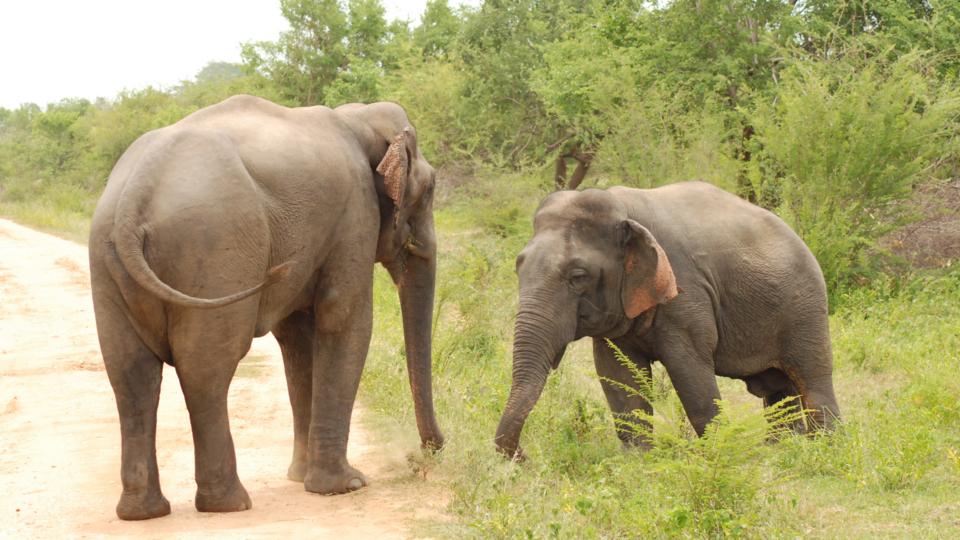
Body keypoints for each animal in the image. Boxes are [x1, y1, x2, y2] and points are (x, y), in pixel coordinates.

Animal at [88, 94, 444, 520]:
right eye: (431, 188)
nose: (429, 452)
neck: (356, 116)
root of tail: (134, 197)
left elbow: (297, 337)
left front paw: (301, 476)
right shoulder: (354, 214)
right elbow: (344, 319)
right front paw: (345, 485)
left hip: (108, 262)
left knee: (131, 373)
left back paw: (144, 512)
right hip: (214, 249)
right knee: (205, 368)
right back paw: (228, 504)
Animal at [494, 182, 840, 459]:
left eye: (578, 276)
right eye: (518, 267)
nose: (524, 456)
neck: (623, 208)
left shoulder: (686, 293)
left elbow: (689, 371)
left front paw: (717, 455)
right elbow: (617, 377)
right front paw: (638, 460)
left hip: (805, 307)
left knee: (812, 378)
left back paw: (825, 451)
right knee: (779, 388)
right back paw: (780, 450)